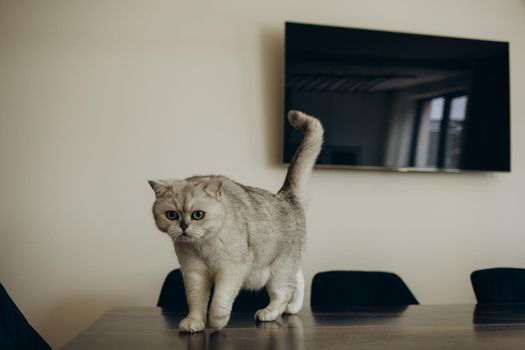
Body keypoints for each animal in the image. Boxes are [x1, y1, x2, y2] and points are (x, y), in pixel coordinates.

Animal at [145, 110, 322, 332]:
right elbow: (196, 301)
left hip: (277, 271)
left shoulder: (231, 270)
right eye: (172, 215)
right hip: (284, 266)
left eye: (198, 215)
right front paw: (194, 322)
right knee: (297, 280)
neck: (203, 247)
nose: (184, 226)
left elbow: (220, 300)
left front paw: (216, 321)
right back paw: (293, 308)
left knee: (283, 293)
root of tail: (286, 196)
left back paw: (269, 313)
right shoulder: (193, 272)